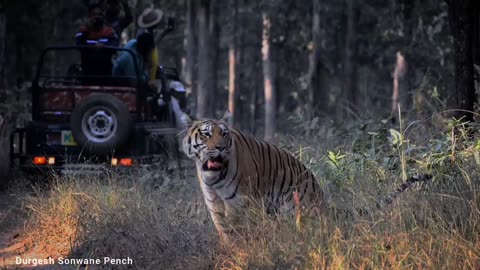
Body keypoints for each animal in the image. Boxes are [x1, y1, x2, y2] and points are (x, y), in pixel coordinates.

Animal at [183, 110, 432, 242]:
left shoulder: (244, 201)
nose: (220, 148)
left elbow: (243, 229)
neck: (214, 178)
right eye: (206, 134)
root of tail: (321, 195)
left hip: (295, 208)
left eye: (224, 134)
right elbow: (226, 232)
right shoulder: (215, 204)